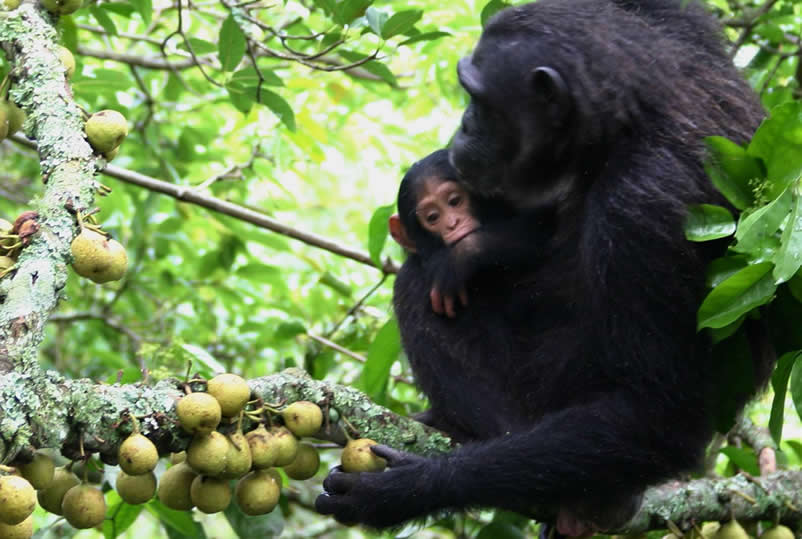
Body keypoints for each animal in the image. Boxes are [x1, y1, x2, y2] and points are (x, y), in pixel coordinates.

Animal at [312, 0, 764, 532]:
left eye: (478, 100)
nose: (464, 124)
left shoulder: (645, 209)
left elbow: (658, 413)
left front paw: (401, 489)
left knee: (416, 285)